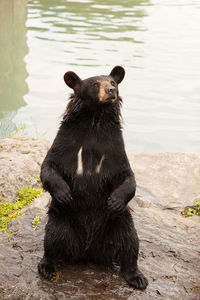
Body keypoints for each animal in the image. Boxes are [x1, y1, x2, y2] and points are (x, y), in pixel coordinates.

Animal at [38, 66, 148, 290]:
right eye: (95, 84)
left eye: (113, 82)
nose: (111, 90)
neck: (95, 120)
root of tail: (88, 251)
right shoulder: (66, 141)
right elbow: (49, 165)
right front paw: (64, 193)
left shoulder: (115, 147)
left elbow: (127, 175)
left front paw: (114, 201)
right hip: (62, 220)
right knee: (52, 239)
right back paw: (47, 267)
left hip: (119, 223)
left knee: (130, 243)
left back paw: (137, 277)